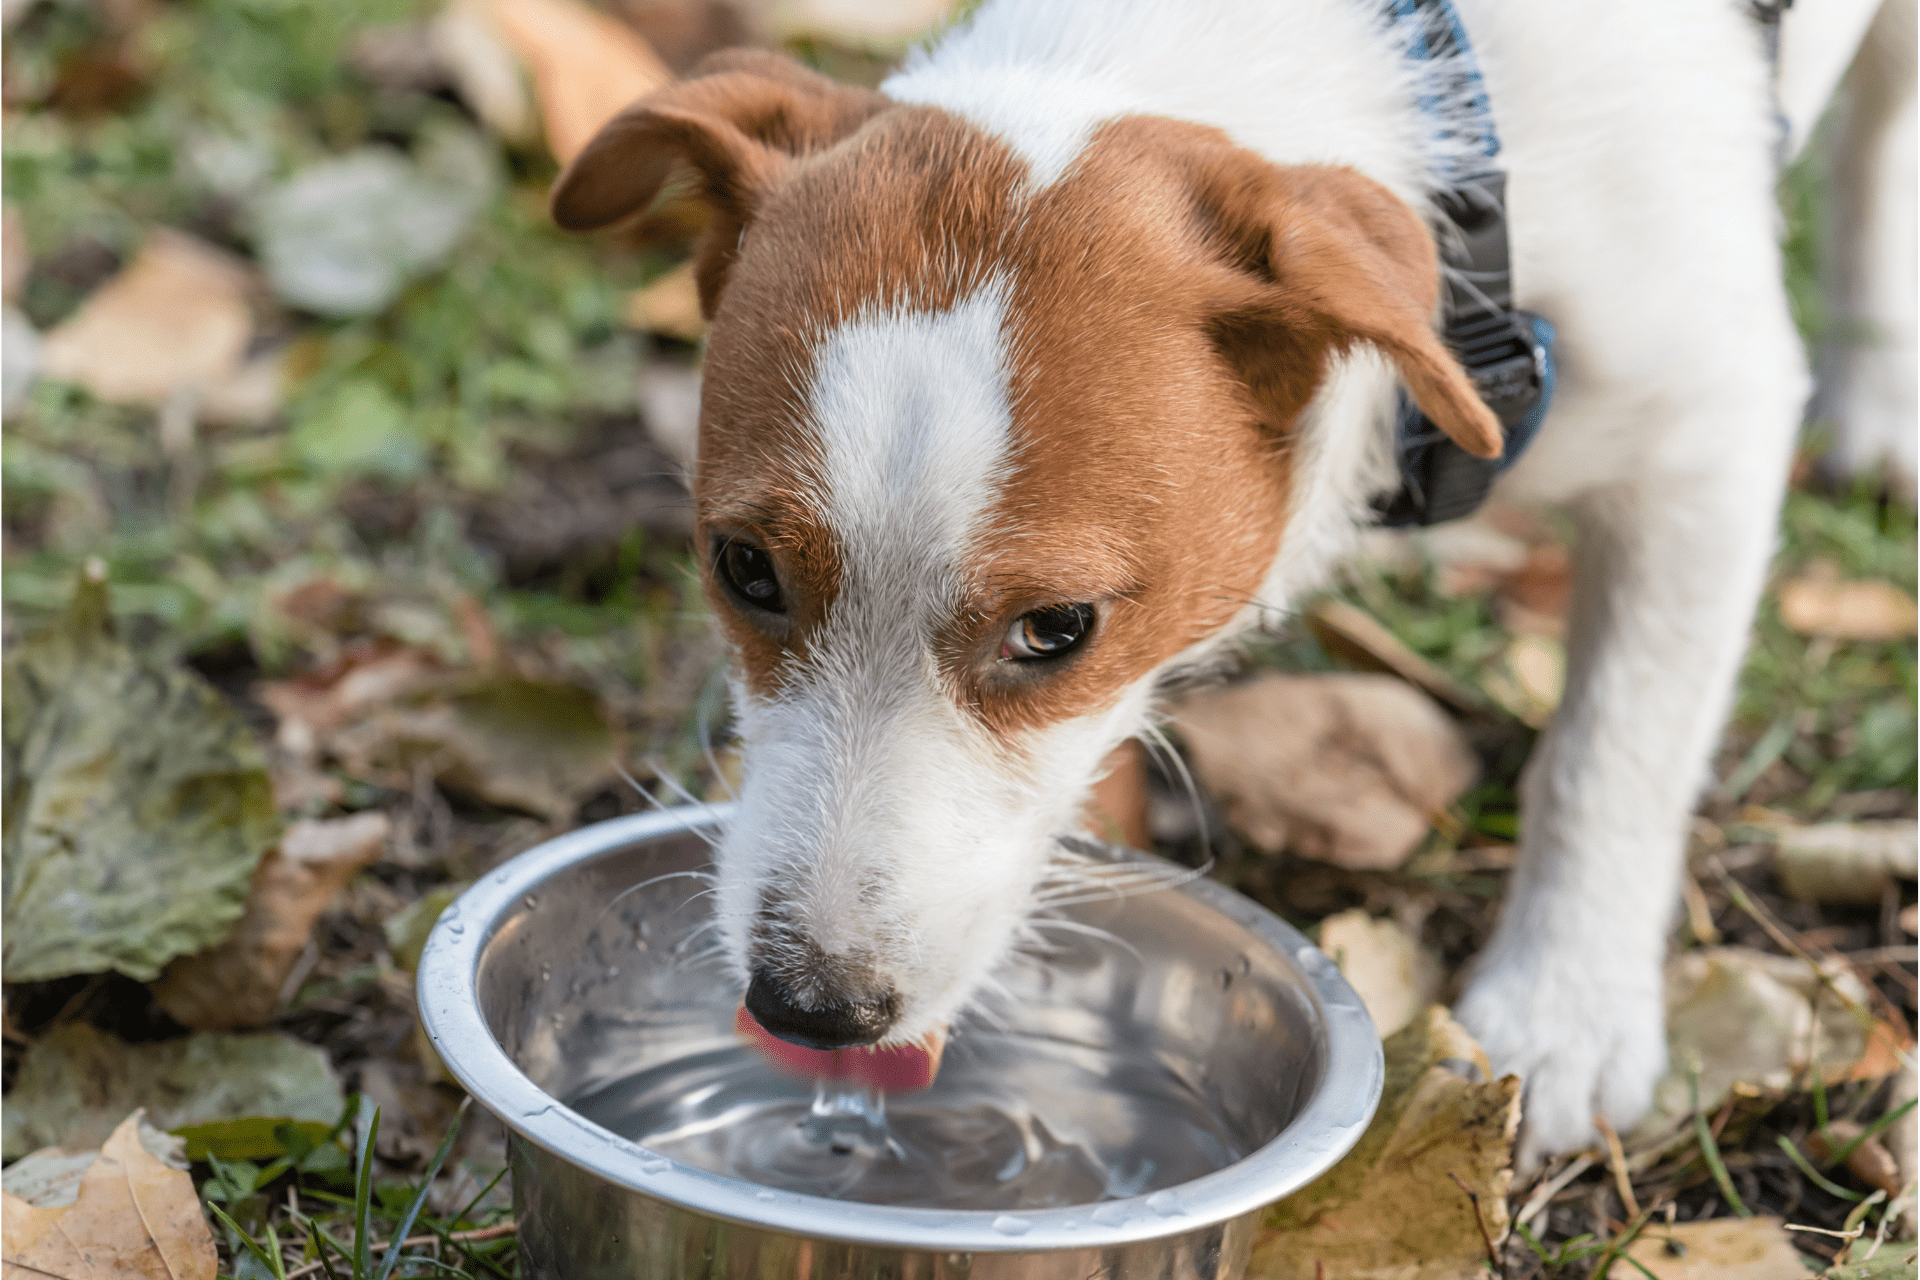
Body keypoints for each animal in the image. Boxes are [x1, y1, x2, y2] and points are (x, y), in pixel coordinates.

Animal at [549, 0, 1912, 1174]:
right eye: (744, 567)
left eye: (1058, 628)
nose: (812, 1007)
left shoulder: (1708, 437)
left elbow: (1612, 751)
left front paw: (1564, 1004)